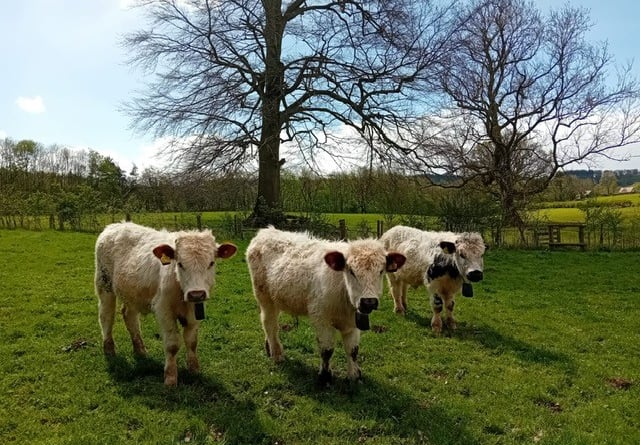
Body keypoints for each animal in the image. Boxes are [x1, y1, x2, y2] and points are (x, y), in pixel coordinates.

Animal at [94, 222, 236, 386]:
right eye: (180, 264)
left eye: (211, 263)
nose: (196, 293)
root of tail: (115, 225)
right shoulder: (164, 310)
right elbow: (172, 344)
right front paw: (170, 378)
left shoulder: (195, 312)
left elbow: (191, 341)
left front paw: (194, 369)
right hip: (104, 285)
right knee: (106, 316)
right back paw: (109, 349)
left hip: (132, 293)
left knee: (129, 316)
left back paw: (140, 350)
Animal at [245, 227, 404, 384]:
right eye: (351, 271)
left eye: (381, 271)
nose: (368, 301)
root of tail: (266, 231)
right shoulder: (321, 319)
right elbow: (327, 350)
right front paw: (325, 376)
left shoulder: (353, 323)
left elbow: (353, 350)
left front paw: (355, 375)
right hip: (264, 297)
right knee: (269, 323)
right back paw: (277, 354)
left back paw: (269, 348)